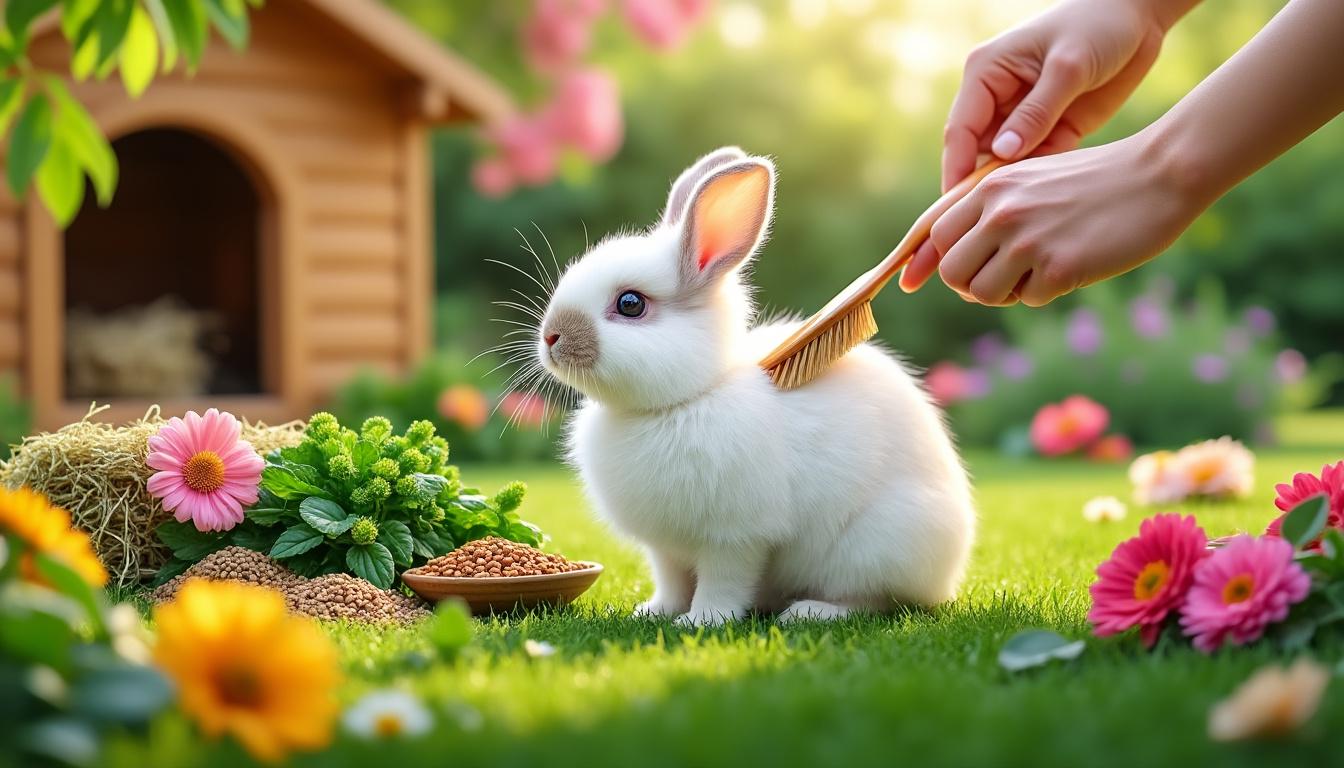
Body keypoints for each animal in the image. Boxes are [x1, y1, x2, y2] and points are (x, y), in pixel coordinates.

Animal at [536, 146, 975, 625]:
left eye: (630, 304)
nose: (552, 337)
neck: (685, 400)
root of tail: (948, 570)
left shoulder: (734, 537)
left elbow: (722, 583)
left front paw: (702, 621)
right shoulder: (665, 547)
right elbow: (671, 580)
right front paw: (653, 613)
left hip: (874, 549)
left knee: (875, 601)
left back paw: (809, 612)